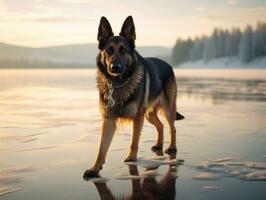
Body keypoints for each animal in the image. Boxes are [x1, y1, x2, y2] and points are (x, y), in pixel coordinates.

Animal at [84, 15, 184, 178]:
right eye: (109, 50)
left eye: (123, 50)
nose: (115, 68)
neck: (118, 84)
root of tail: (168, 65)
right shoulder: (109, 119)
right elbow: (101, 147)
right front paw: (94, 168)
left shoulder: (137, 117)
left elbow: (134, 141)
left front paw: (131, 158)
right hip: (149, 114)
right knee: (161, 126)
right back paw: (158, 145)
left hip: (168, 109)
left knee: (172, 127)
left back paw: (172, 147)